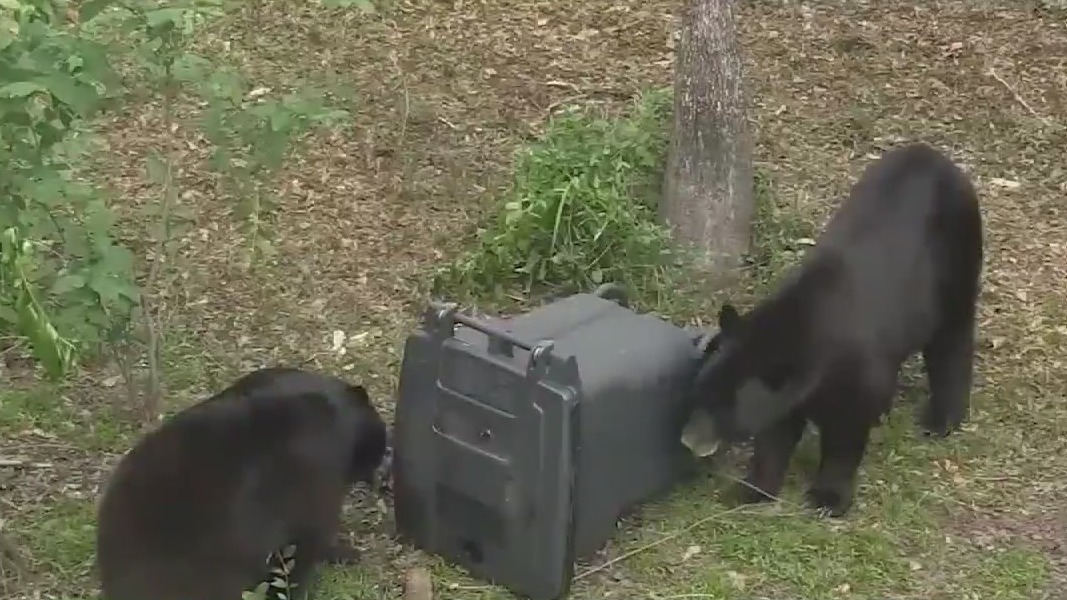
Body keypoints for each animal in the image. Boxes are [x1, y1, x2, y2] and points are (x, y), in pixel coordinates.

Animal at [681, 141, 984, 517]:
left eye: (723, 410)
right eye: (698, 393)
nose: (687, 439)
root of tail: (936, 156)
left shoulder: (853, 369)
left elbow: (845, 433)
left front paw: (827, 497)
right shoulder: (787, 390)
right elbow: (776, 432)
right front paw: (752, 488)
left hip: (956, 261)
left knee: (952, 339)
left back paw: (941, 419)